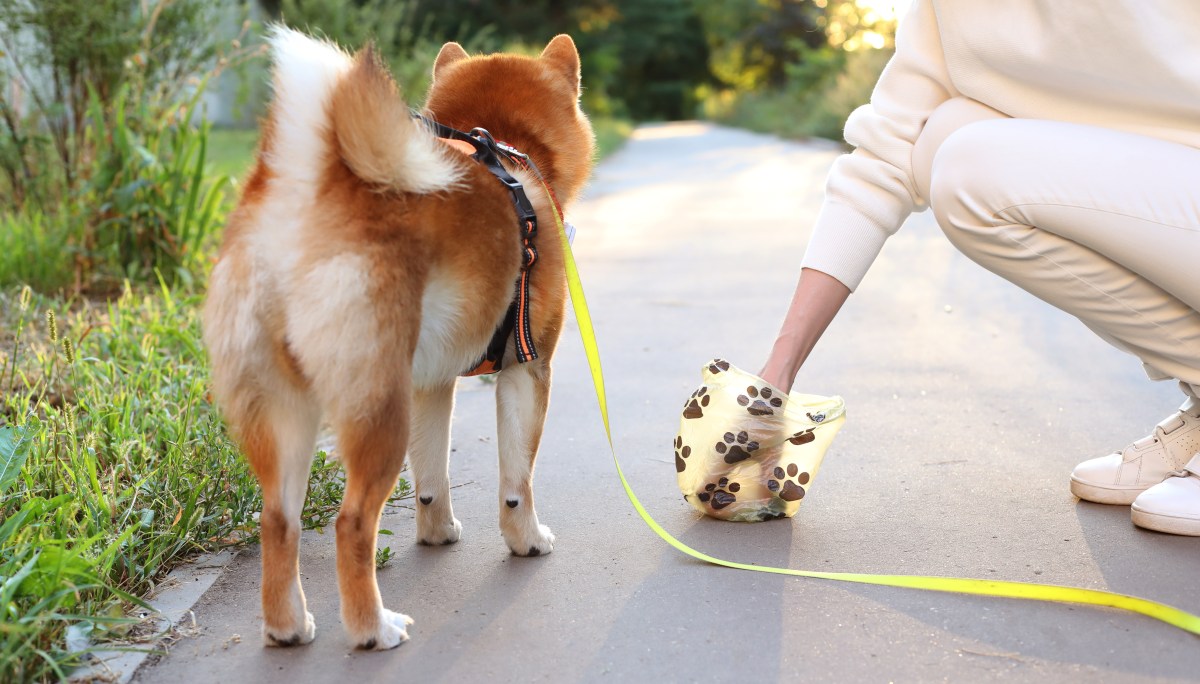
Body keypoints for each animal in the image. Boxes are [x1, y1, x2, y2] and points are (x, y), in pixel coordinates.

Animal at [207, 29, 600, 648]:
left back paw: (289, 627)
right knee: (351, 524)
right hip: (377, 411)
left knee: (278, 521)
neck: (507, 149)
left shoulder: (431, 383)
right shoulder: (527, 370)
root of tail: (307, 199)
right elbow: (517, 480)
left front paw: (437, 531)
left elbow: (433, 477)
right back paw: (373, 627)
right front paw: (527, 540)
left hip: (287, 414)